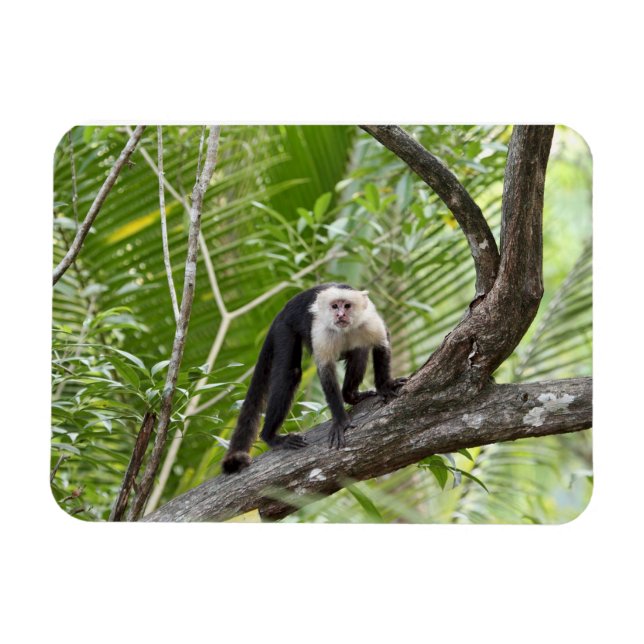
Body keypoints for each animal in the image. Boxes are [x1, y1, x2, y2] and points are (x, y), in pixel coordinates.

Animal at [221, 283, 406, 474]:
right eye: (334, 306)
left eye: (347, 306)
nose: (340, 315)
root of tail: (283, 310)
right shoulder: (321, 331)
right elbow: (326, 371)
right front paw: (340, 421)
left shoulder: (368, 320)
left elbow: (382, 342)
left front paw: (384, 386)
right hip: (284, 327)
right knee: (290, 374)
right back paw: (270, 436)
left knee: (359, 350)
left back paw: (351, 395)